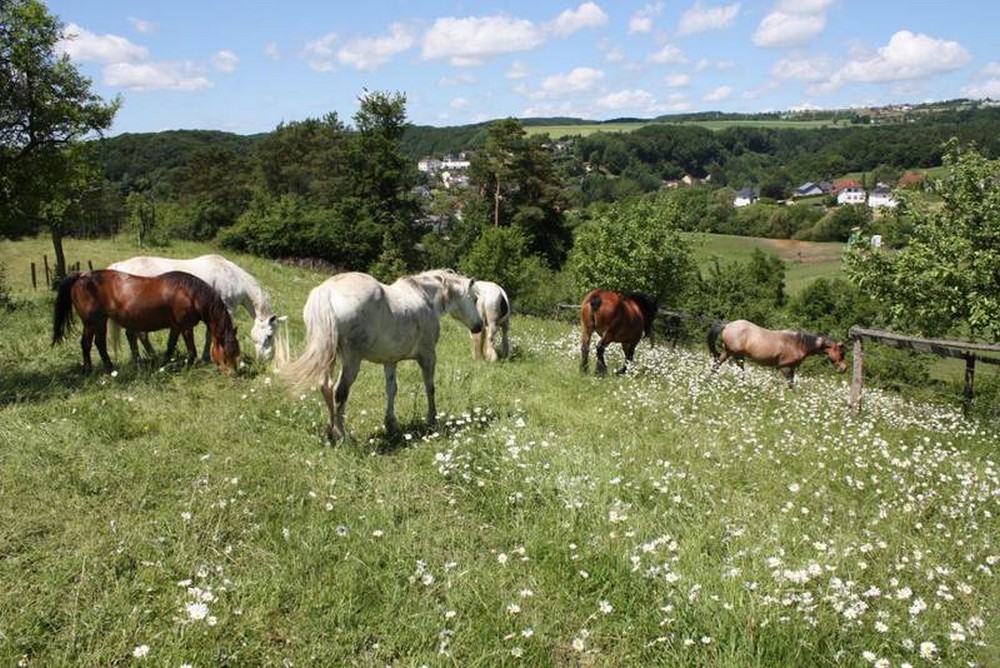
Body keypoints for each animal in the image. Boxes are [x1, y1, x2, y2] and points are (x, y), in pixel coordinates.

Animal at [53, 268, 242, 374]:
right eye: (227, 353)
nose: (232, 373)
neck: (190, 294)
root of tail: (82, 275)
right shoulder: (186, 327)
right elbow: (192, 350)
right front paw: (188, 367)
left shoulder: (175, 327)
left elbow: (170, 347)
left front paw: (163, 366)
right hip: (91, 321)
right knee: (86, 344)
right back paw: (89, 370)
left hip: (101, 320)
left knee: (99, 344)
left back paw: (110, 369)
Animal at [106, 253, 286, 362]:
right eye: (270, 336)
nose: (264, 360)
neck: (232, 276)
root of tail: (118, 268)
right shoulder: (225, 309)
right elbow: (210, 335)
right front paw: (207, 357)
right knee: (137, 335)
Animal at [280, 268, 482, 440]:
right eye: (474, 299)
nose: (479, 326)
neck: (423, 296)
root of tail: (327, 290)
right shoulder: (428, 356)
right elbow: (430, 387)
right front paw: (432, 420)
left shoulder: (390, 360)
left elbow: (391, 389)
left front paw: (391, 424)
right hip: (351, 360)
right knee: (339, 391)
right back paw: (342, 436)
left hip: (328, 355)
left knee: (325, 386)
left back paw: (330, 431)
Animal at [708, 318, 848, 386]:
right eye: (842, 353)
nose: (844, 368)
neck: (798, 343)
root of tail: (727, 325)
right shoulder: (784, 368)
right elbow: (787, 385)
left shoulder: (791, 368)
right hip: (735, 355)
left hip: (730, 353)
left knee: (717, 365)